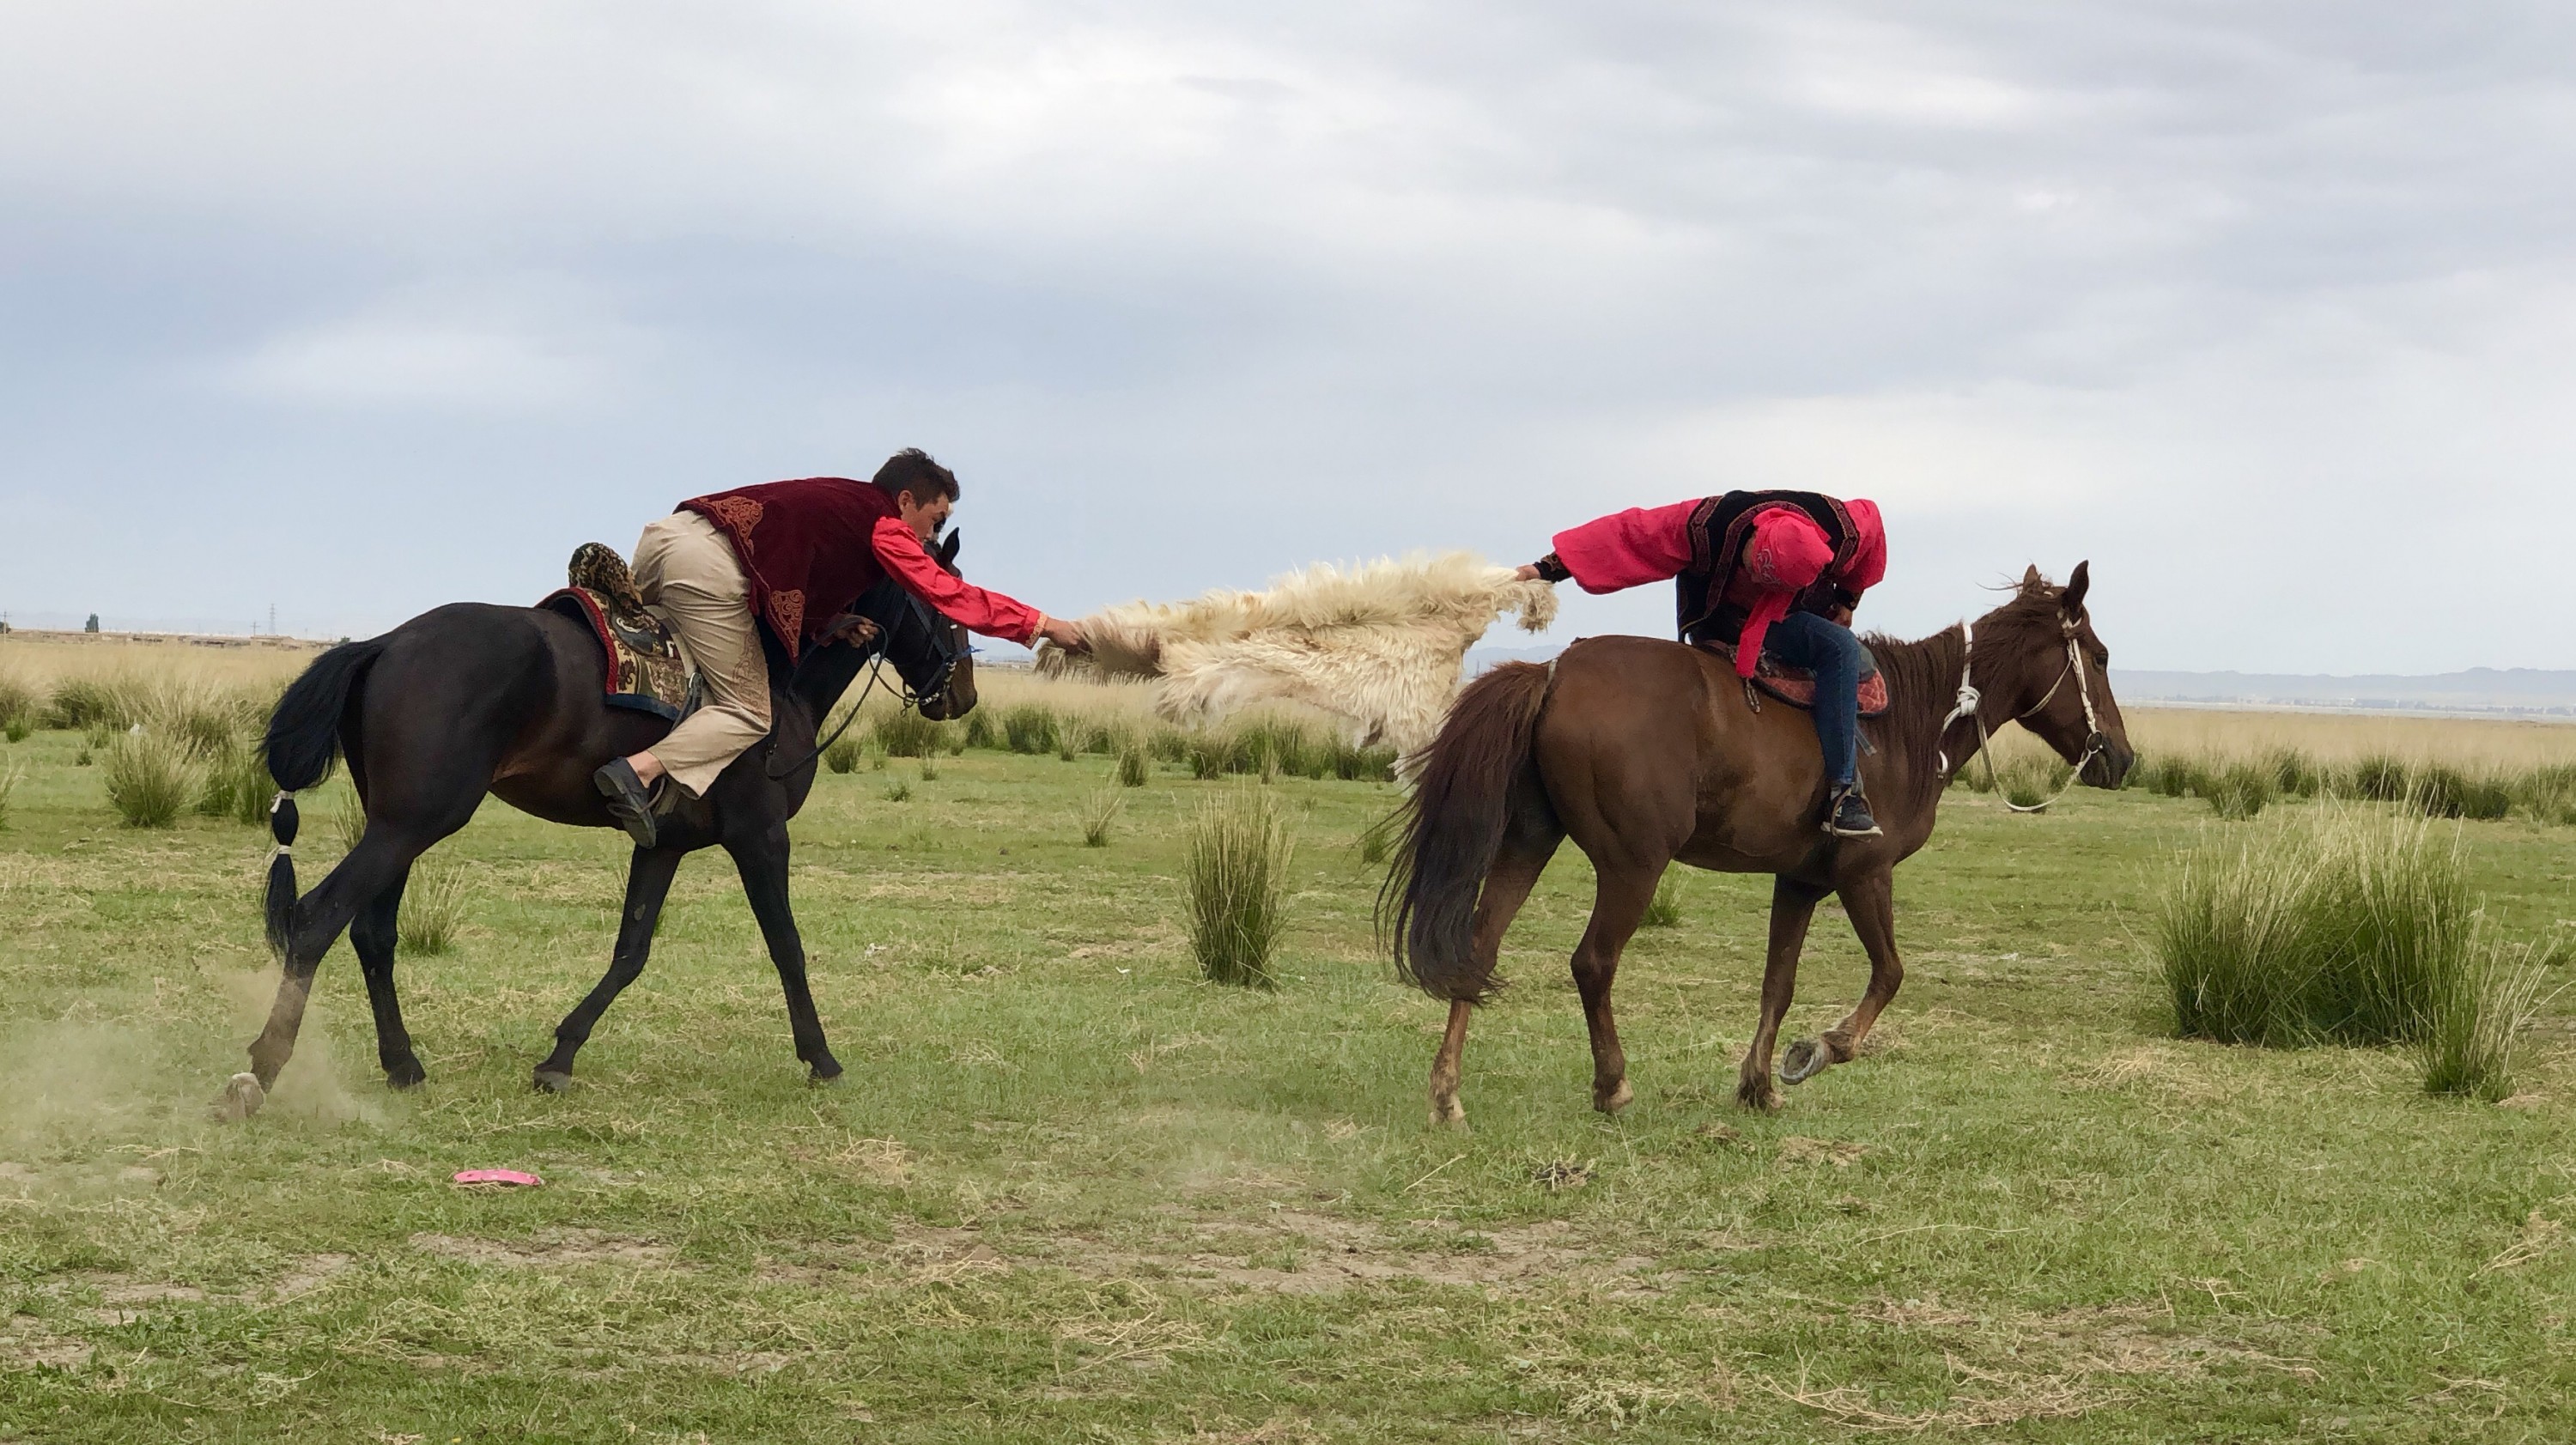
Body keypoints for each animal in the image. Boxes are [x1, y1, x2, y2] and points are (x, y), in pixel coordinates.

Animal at [229, 536, 974, 1108]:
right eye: (949, 604)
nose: (962, 693)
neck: (775, 681)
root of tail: (385, 642)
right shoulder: (761, 838)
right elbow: (786, 946)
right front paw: (821, 1058)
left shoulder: (664, 845)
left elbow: (630, 951)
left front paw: (560, 1055)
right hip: (410, 825)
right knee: (317, 918)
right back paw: (260, 1069)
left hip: (397, 826)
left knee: (373, 933)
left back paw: (403, 1065)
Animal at [1391, 562, 2133, 1118]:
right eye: (2097, 656)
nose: (2121, 759)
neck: (1911, 722)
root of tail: (1552, 674)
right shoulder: (1866, 872)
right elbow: (1890, 972)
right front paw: (1816, 1052)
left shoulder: (1801, 880)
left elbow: (1778, 981)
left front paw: (1758, 1085)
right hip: (1633, 865)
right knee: (1593, 963)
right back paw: (1613, 1086)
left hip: (1528, 842)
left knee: (1479, 947)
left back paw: (1447, 1095)